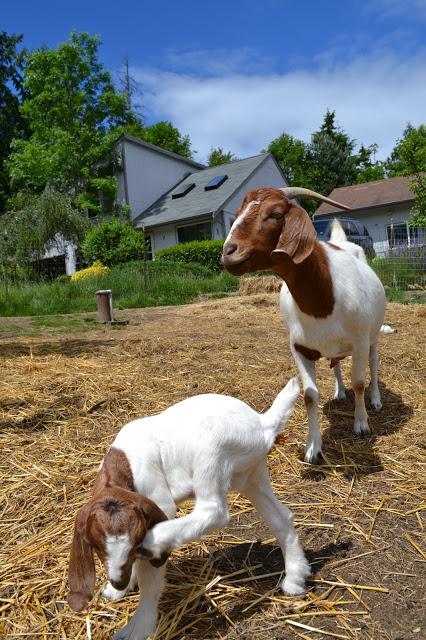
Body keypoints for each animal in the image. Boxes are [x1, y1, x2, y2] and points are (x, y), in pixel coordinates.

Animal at [66, 380, 308, 640]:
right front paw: (118, 590)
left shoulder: (158, 500)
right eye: (96, 546)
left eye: (133, 543)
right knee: (281, 518)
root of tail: (262, 423)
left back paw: (155, 541)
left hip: (213, 449)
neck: (122, 466)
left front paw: (138, 627)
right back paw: (296, 578)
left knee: (214, 510)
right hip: (251, 475)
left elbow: (150, 577)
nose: (118, 581)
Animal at [223, 188, 386, 462]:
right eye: (237, 214)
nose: (228, 251)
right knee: (337, 364)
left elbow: (359, 382)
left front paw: (361, 425)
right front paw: (312, 448)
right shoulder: (299, 348)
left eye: (275, 214)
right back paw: (339, 392)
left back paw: (375, 400)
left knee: (373, 366)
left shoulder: (360, 340)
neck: (324, 296)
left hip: (373, 335)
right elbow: (310, 395)